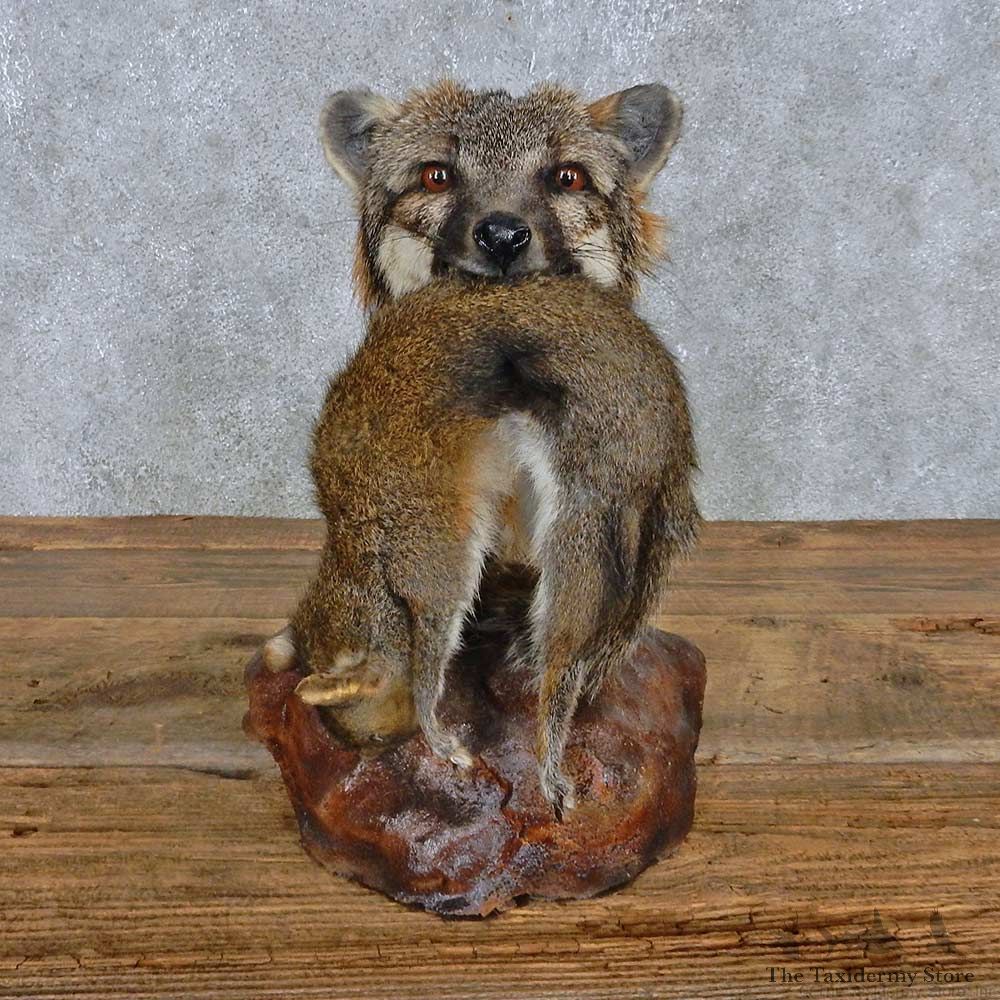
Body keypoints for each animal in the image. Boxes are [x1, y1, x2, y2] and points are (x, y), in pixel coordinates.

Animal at [263, 80, 697, 814]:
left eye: (566, 177)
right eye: (437, 176)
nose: (501, 236)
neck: (355, 543)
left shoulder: (433, 563)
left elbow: (432, 675)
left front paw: (445, 741)